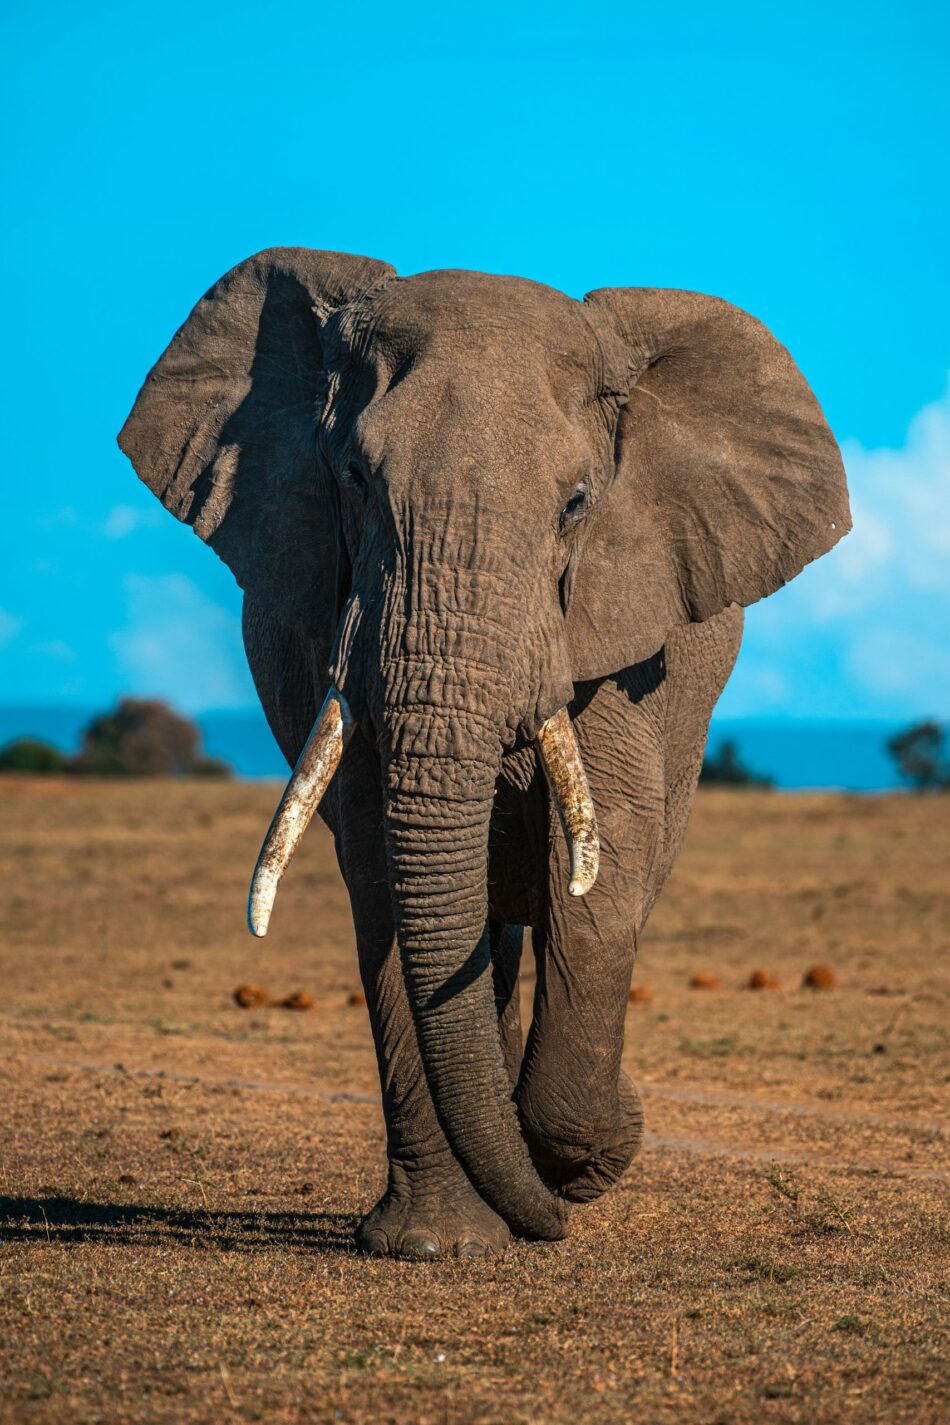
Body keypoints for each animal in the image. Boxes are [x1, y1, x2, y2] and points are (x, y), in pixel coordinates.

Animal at [115, 247, 848, 1259]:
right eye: (353, 477)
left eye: (577, 503)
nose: (556, 1217)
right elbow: (385, 875)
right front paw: (440, 1242)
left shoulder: (614, 632)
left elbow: (601, 870)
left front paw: (576, 1161)